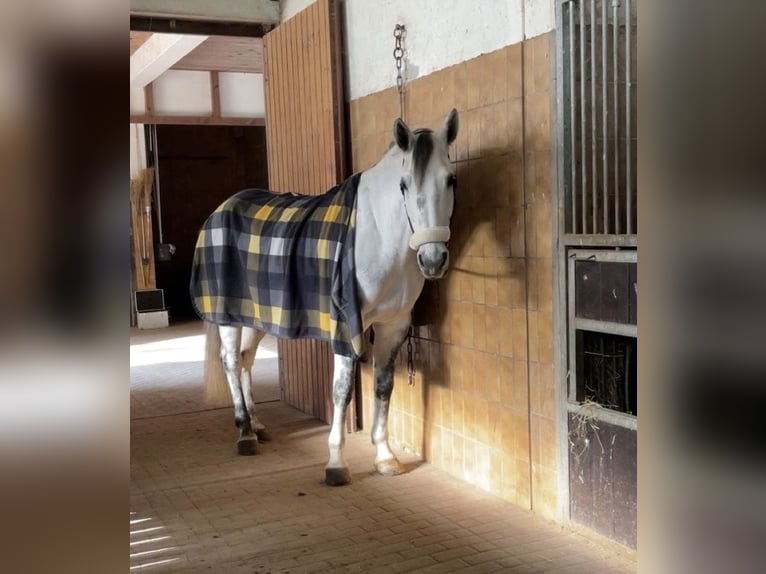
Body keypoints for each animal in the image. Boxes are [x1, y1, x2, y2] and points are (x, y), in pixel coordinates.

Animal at [191, 109, 458, 486]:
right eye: (404, 184)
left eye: (451, 180)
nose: (433, 260)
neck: (377, 236)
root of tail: (219, 211)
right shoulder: (346, 325)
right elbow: (342, 391)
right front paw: (336, 463)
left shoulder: (393, 326)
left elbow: (383, 386)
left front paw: (385, 457)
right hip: (227, 314)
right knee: (230, 361)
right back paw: (244, 433)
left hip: (254, 316)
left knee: (245, 360)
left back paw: (257, 425)